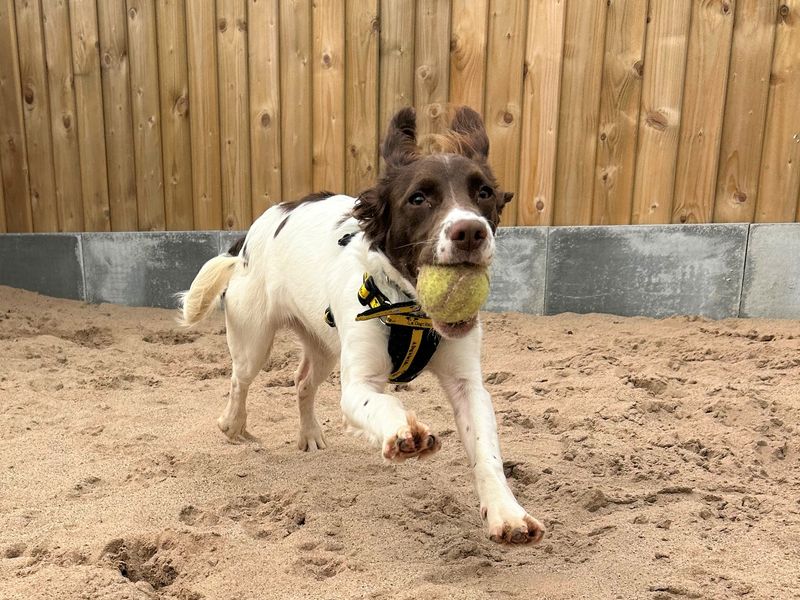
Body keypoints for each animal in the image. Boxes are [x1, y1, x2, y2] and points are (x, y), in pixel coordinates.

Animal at [180, 106, 544, 544]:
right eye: (418, 198)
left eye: (484, 192)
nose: (470, 231)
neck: (411, 310)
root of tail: (250, 232)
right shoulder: (358, 384)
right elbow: (383, 402)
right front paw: (403, 433)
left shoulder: (468, 385)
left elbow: (486, 451)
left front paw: (507, 513)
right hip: (254, 339)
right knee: (240, 380)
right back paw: (233, 425)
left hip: (323, 344)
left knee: (302, 383)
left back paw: (310, 435)